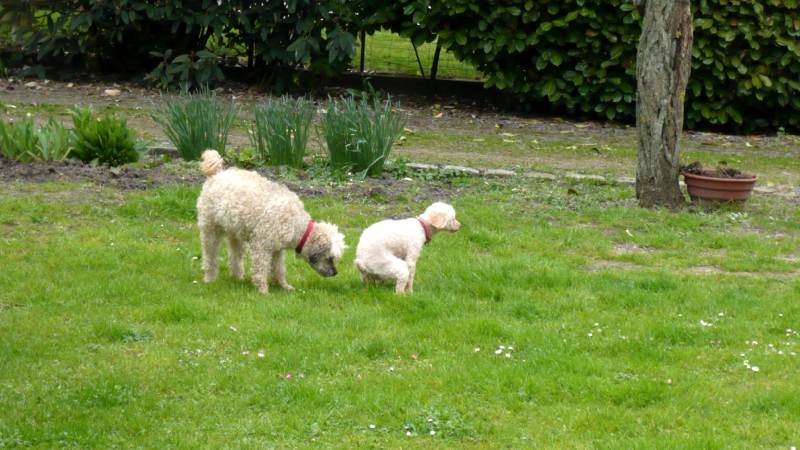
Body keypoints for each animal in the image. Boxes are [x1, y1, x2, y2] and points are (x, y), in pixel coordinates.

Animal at [197, 149, 344, 294]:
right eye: (330, 258)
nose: (335, 273)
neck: (296, 225)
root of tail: (217, 174)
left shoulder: (277, 250)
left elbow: (279, 269)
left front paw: (284, 286)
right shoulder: (262, 246)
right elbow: (260, 269)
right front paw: (263, 291)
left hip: (235, 232)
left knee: (235, 256)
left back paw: (238, 277)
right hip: (210, 230)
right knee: (209, 256)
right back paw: (210, 278)